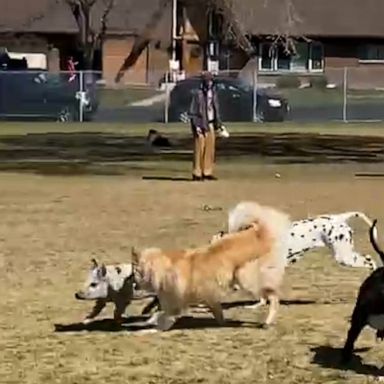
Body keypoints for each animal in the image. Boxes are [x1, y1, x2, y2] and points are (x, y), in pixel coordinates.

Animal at [130, 202, 290, 332]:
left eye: (135, 273)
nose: (134, 287)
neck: (162, 268)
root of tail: (258, 234)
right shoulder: (209, 297)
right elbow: (217, 311)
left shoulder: (174, 306)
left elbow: (160, 320)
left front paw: (145, 329)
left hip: (246, 279)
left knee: (274, 297)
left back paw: (268, 321)